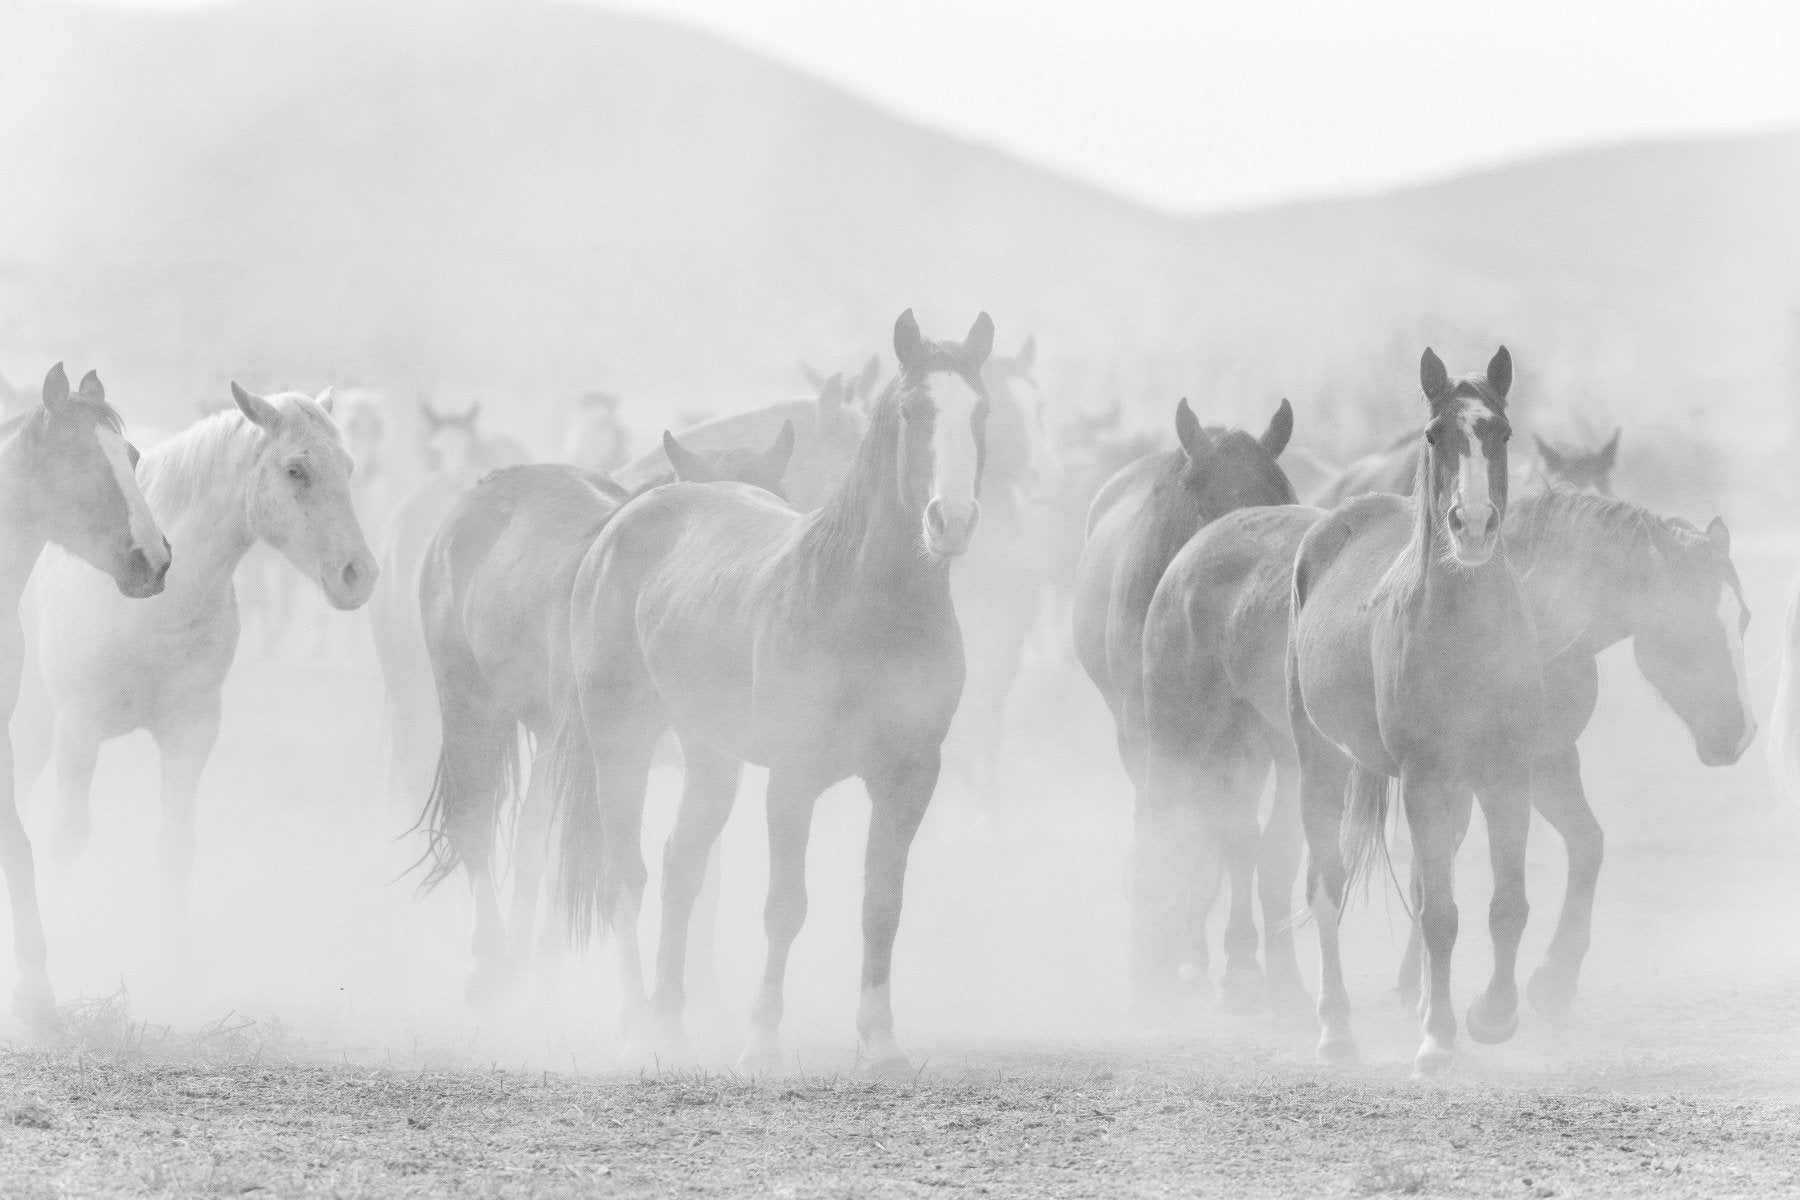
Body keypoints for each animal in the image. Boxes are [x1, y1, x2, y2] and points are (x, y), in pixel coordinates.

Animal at [11, 385, 379, 928]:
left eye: (349, 467)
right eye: (296, 470)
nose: (359, 574)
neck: (157, 610)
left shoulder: (191, 733)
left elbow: (175, 846)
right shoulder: (78, 727)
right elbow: (66, 838)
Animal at [417, 422, 799, 1007]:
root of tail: (480, 492)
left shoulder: (705, 756)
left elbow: (695, 870)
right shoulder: (599, 755)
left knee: (529, 838)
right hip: (469, 705)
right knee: (479, 822)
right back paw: (491, 963)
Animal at [543, 314, 1000, 1072]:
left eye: (982, 412)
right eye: (913, 410)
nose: (952, 520)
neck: (865, 604)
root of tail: (625, 522)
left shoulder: (909, 777)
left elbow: (882, 904)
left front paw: (880, 1043)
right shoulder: (793, 776)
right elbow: (786, 905)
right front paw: (760, 1041)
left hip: (711, 757)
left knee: (681, 864)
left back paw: (670, 1022)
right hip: (622, 744)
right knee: (628, 872)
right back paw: (637, 1026)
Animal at [1288, 347, 1540, 1079]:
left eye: (1501, 432)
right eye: (1434, 436)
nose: (1473, 525)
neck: (1465, 632)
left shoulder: (1506, 775)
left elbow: (1504, 905)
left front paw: (1491, 1016)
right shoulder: (1429, 779)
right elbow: (1440, 918)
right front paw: (1437, 1044)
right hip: (1321, 762)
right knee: (1327, 886)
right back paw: (1336, 1030)